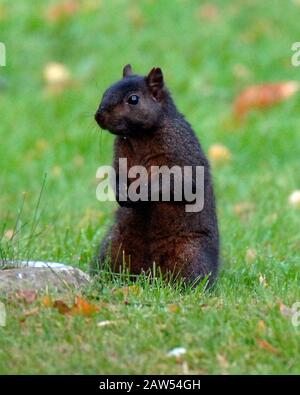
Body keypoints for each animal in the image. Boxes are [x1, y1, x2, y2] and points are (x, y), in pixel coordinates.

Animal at [91, 65, 218, 284]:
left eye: (133, 99)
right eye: (106, 90)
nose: (99, 116)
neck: (138, 136)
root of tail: (149, 273)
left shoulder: (181, 156)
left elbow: (174, 183)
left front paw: (140, 193)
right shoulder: (120, 156)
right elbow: (116, 175)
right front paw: (120, 193)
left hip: (191, 254)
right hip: (113, 246)